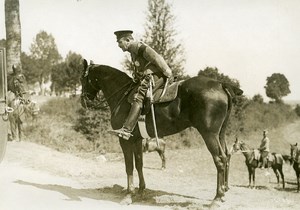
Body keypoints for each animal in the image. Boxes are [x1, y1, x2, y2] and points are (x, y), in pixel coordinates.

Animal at [80, 60, 244, 204]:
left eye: (83, 79)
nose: (83, 101)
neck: (122, 94)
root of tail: (221, 84)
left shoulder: (125, 140)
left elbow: (129, 166)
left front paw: (128, 195)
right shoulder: (137, 140)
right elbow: (139, 164)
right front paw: (140, 191)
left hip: (209, 134)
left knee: (220, 159)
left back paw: (217, 197)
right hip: (220, 134)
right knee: (227, 156)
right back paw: (223, 191)